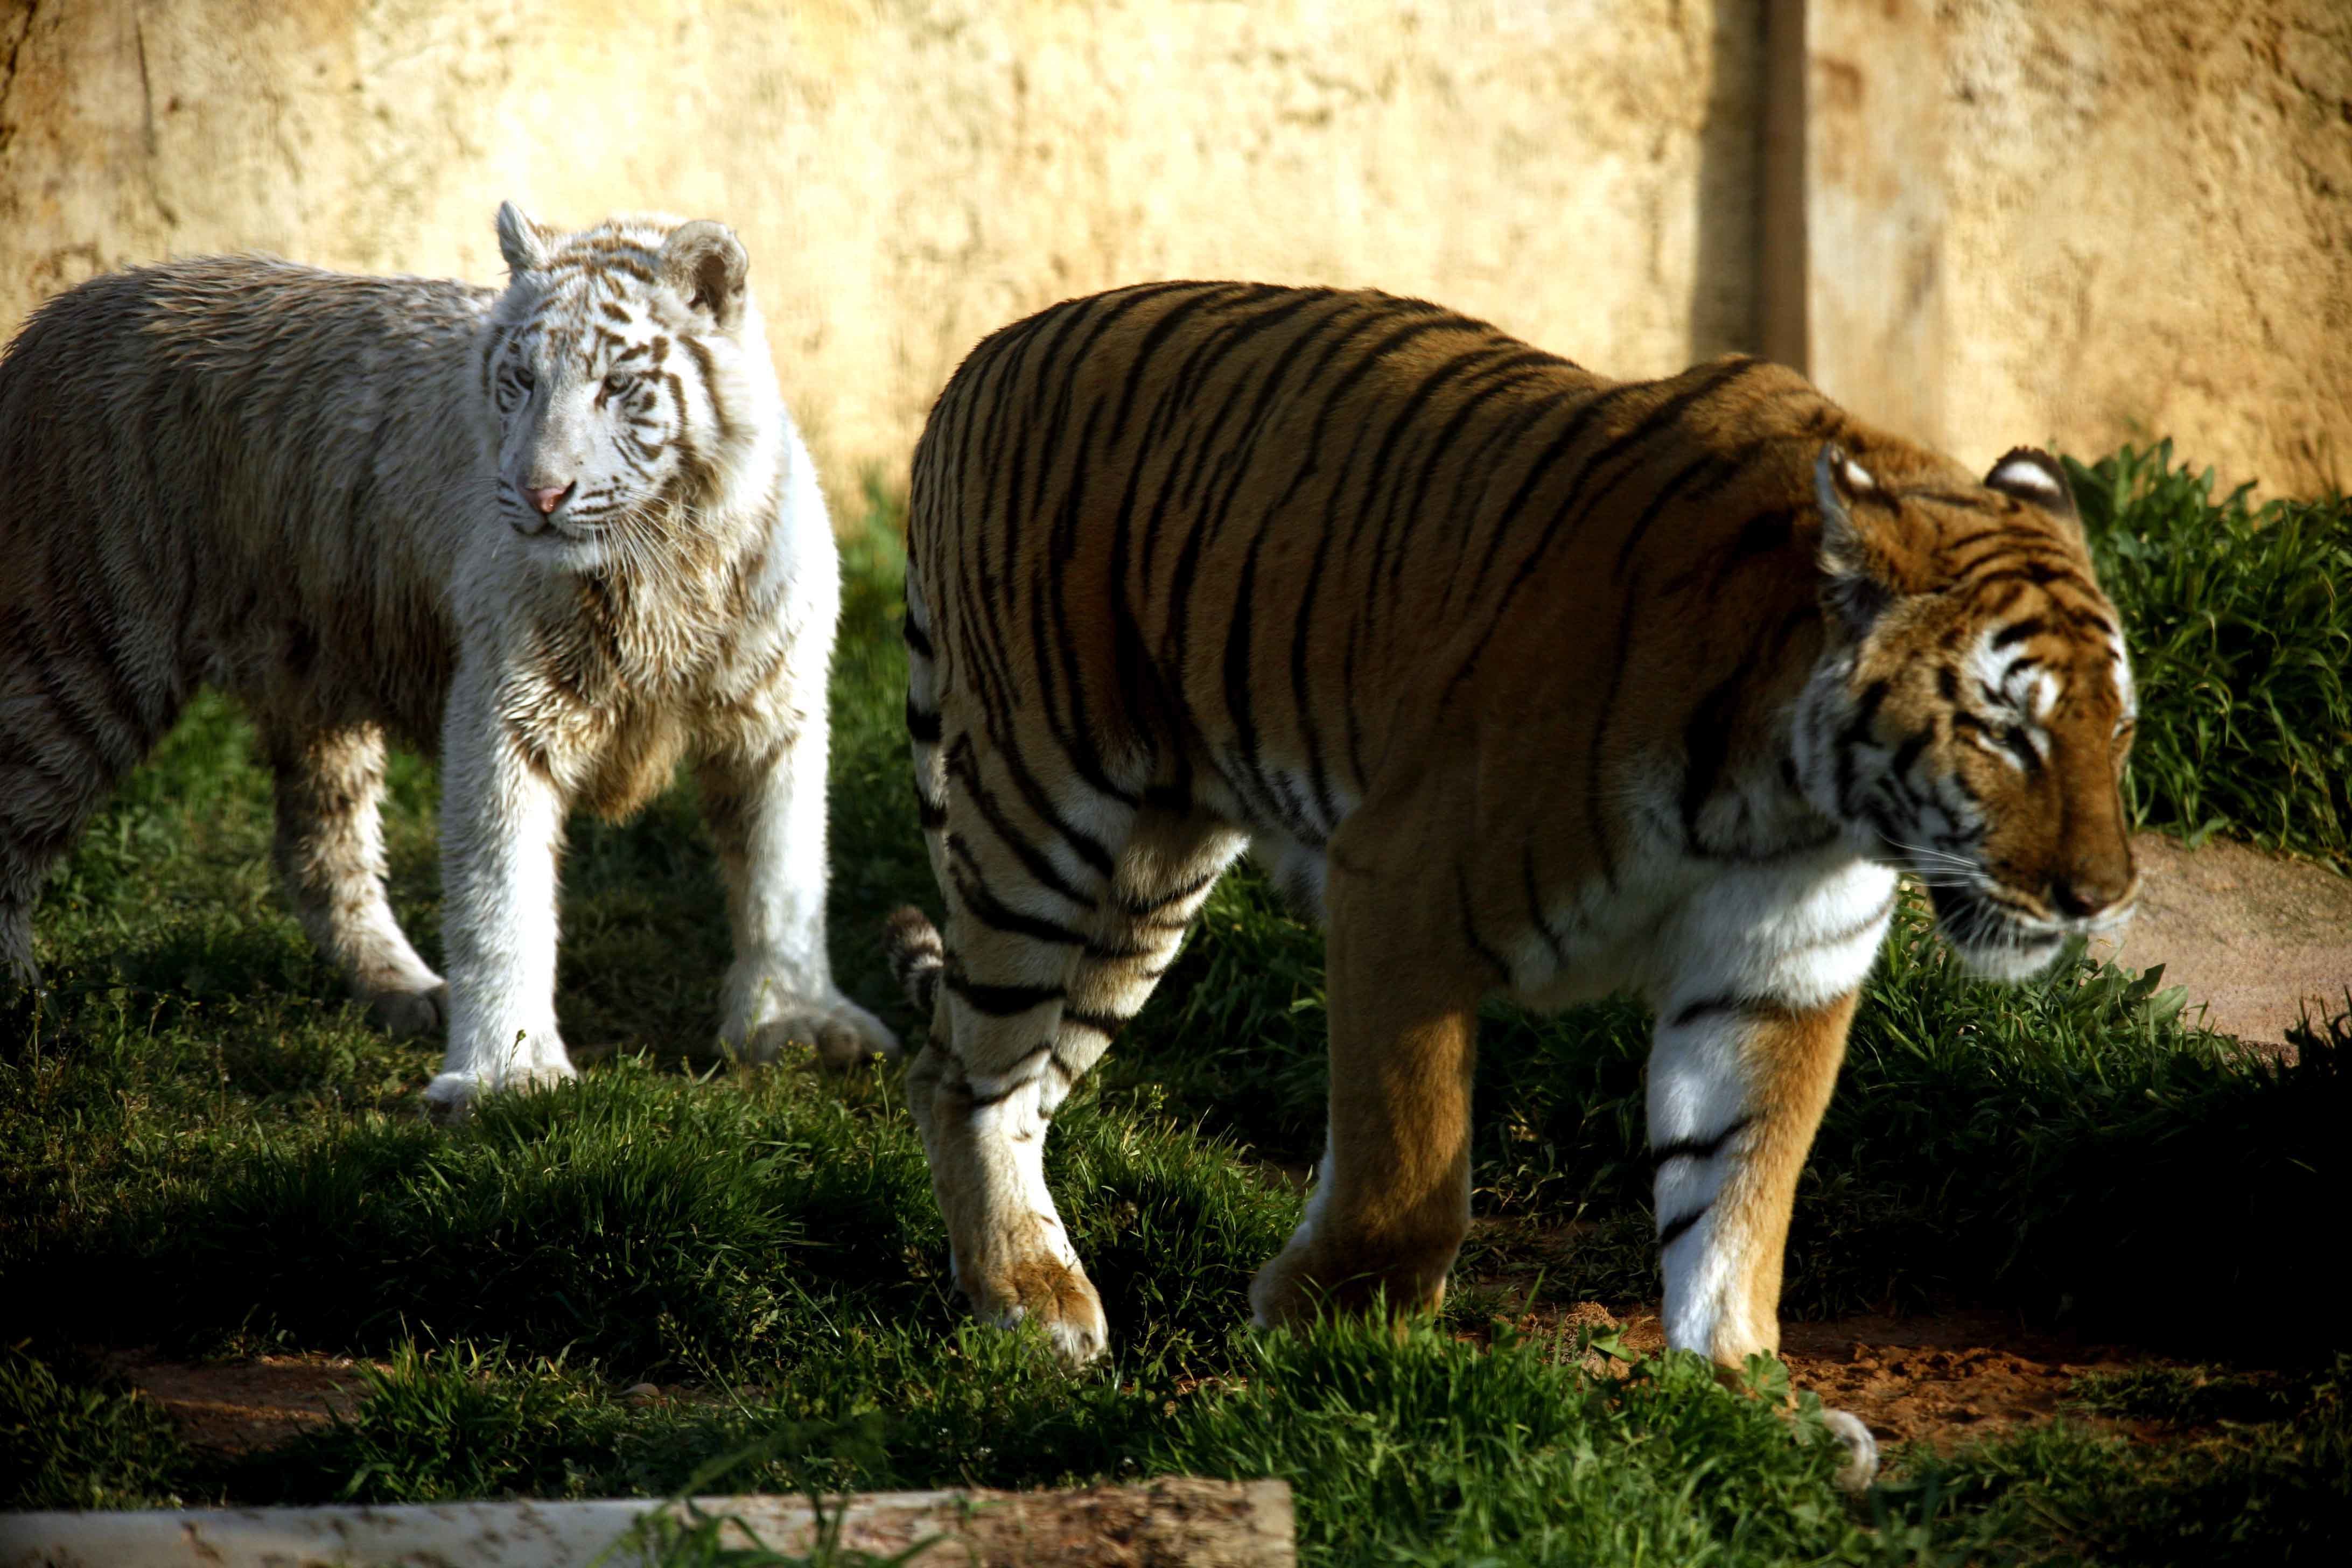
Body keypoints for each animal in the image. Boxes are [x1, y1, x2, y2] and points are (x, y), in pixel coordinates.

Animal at [0, 206, 898, 1114]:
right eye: (522, 380)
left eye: (617, 386)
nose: (540, 495)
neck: (661, 561)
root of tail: (51, 319)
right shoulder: (508, 714)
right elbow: (501, 897)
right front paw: (510, 1075)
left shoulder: (774, 711)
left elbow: (784, 872)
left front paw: (799, 1026)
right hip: (85, 646)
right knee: (17, 815)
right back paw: (22, 1015)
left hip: (313, 674)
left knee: (318, 848)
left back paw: (404, 991)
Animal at [879, 282, 2136, 1486]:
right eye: (2006, 731)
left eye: (2117, 729)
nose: (2102, 897)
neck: (1788, 802)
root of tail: (987, 353)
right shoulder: (1403, 888)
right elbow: (1410, 1166)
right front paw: (1337, 1346)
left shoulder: (1773, 978)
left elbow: (1735, 1202)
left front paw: (1745, 1399)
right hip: (1047, 821)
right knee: (963, 1073)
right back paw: (1031, 1303)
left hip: (1150, 882)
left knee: (1026, 1082)